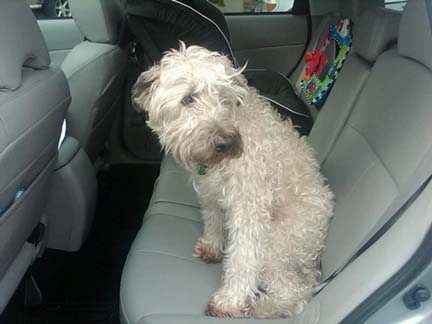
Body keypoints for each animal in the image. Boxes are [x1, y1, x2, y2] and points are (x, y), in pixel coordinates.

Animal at [132, 43, 334, 318]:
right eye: (188, 99)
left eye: (225, 99)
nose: (226, 142)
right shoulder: (210, 193)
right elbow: (213, 219)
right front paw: (212, 246)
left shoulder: (250, 208)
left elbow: (242, 258)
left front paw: (230, 301)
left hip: (276, 245)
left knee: (295, 290)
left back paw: (265, 307)